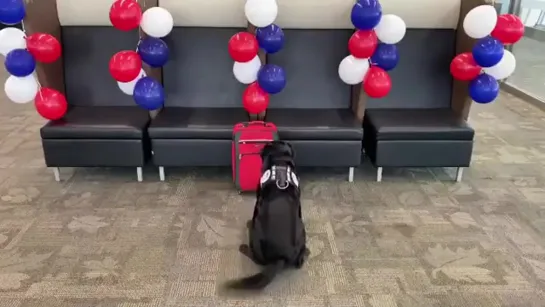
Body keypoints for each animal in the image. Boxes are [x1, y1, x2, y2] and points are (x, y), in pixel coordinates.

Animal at [225, 142, 310, 292]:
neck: (280, 164)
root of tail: (279, 258)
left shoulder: (258, 199)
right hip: (302, 228)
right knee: (299, 262)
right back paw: (306, 252)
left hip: (255, 236)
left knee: (256, 258)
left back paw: (243, 247)